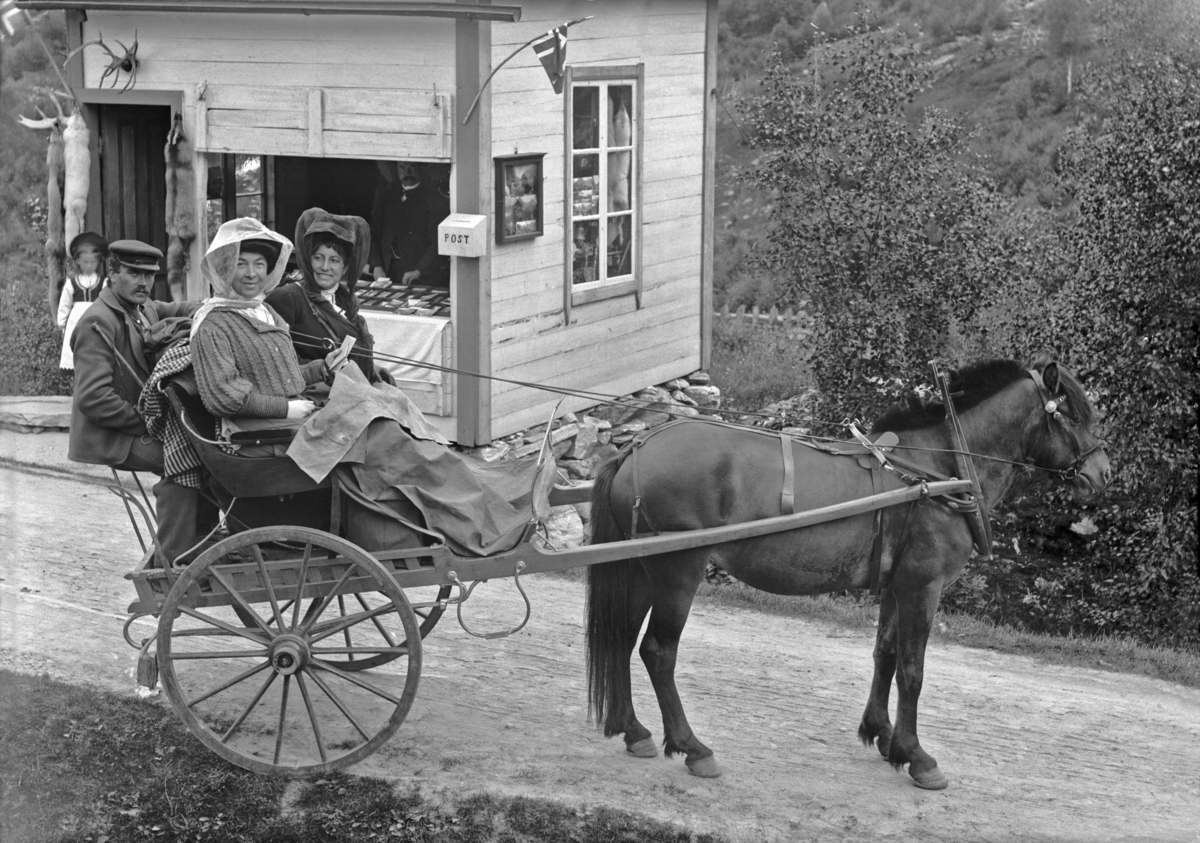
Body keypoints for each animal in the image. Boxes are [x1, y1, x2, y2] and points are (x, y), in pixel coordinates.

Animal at [585, 355, 1108, 792]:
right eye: (1074, 414)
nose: (1102, 473)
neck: (938, 469)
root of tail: (636, 448)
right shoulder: (923, 586)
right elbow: (913, 671)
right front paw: (917, 756)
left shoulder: (897, 586)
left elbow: (886, 656)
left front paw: (884, 735)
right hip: (678, 569)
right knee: (658, 652)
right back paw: (692, 746)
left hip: (641, 568)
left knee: (621, 638)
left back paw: (633, 729)